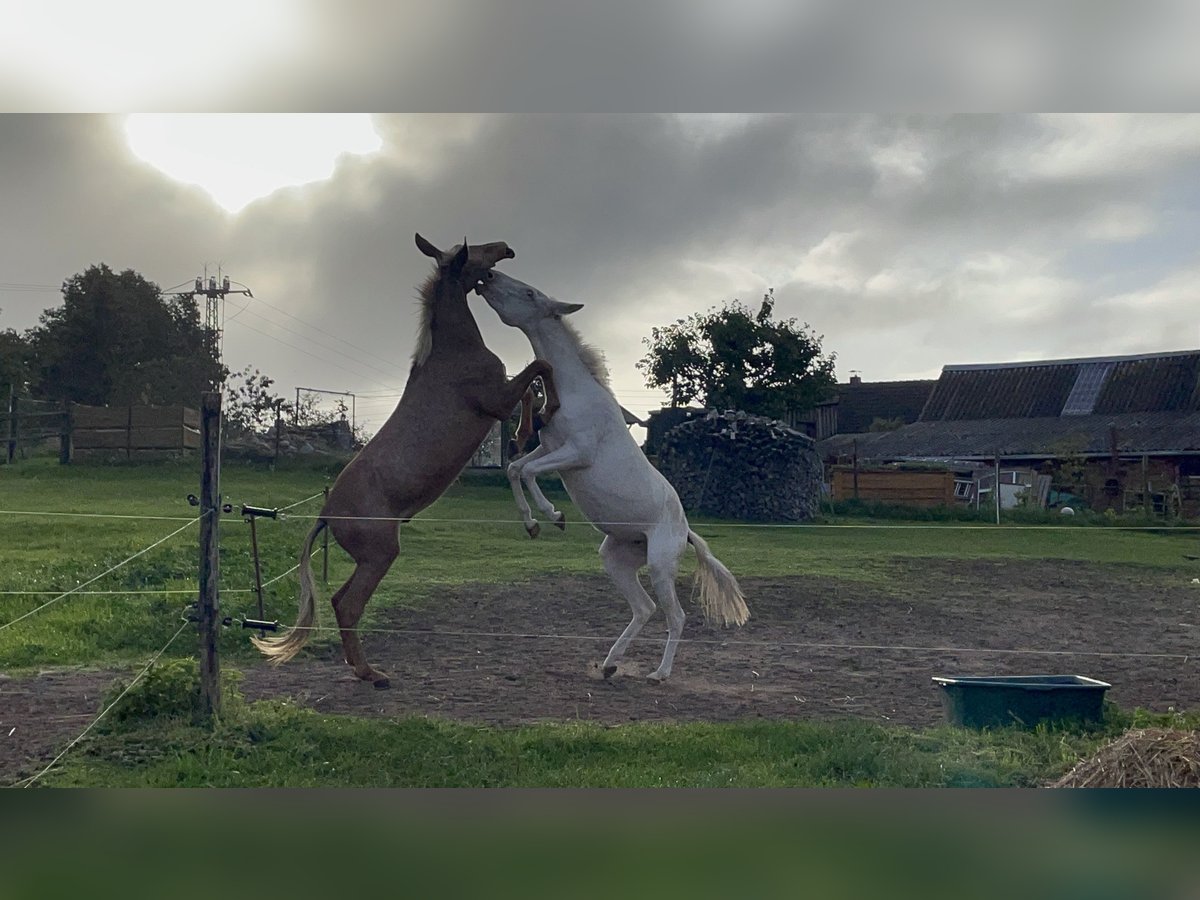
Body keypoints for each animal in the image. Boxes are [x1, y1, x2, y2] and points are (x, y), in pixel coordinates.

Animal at [255, 234, 559, 691]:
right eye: (477, 251)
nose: (506, 247)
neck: (453, 353)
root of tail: (327, 513)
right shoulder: (495, 400)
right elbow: (538, 372)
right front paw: (533, 426)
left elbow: (532, 380)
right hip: (381, 554)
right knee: (348, 605)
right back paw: (372, 674)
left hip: (371, 558)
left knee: (340, 601)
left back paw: (361, 669)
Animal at [472, 271, 744, 681]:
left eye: (530, 293)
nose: (486, 277)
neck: (575, 393)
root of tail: (686, 532)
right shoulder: (550, 449)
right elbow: (515, 468)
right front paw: (532, 524)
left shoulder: (576, 454)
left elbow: (529, 471)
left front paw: (554, 516)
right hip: (615, 560)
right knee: (645, 608)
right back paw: (609, 664)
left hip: (660, 567)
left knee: (675, 616)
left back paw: (659, 674)